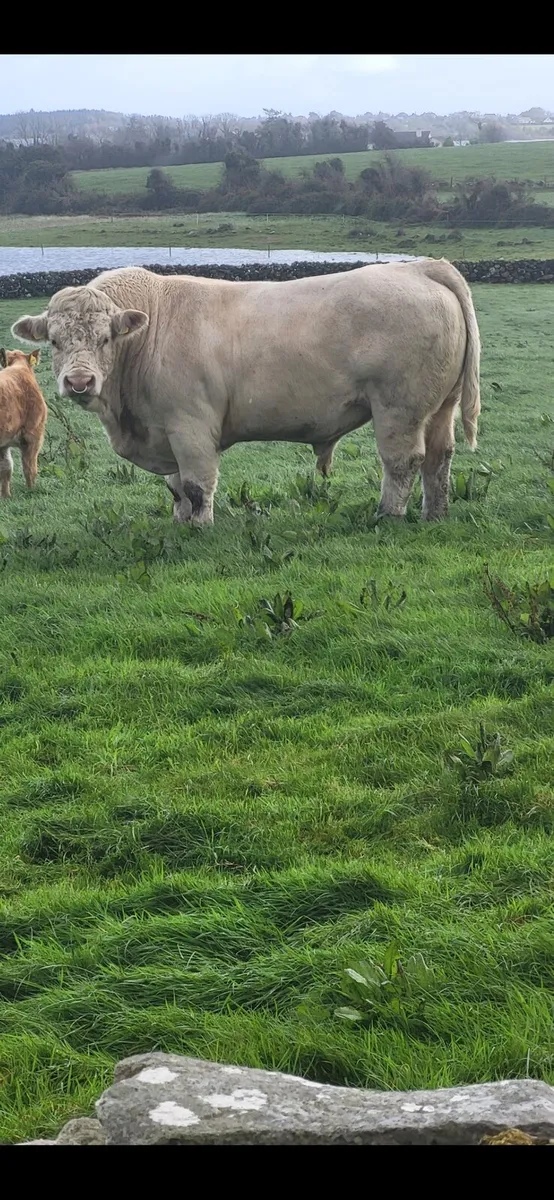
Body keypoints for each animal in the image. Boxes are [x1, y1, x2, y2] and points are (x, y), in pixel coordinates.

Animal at [0, 348, 47, 499]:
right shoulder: (33, 435)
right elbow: (30, 467)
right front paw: (31, 491)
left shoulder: (3, 443)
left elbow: (6, 468)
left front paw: (6, 496)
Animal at [12, 257, 480, 525]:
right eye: (54, 340)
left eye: (106, 338)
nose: (79, 382)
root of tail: (418, 267)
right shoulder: (167, 432)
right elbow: (176, 487)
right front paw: (180, 522)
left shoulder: (191, 426)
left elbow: (196, 484)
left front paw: (200, 529)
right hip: (440, 406)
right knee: (439, 458)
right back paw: (435, 515)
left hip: (399, 407)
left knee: (403, 461)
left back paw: (388, 516)